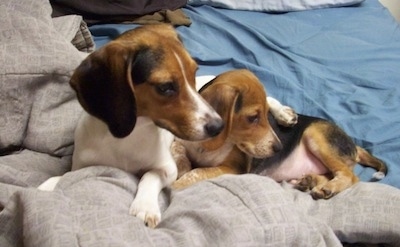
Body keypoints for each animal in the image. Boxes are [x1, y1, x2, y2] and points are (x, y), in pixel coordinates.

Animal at [38, 25, 223, 228]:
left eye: (194, 73)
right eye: (165, 87)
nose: (218, 126)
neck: (130, 135)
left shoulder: (168, 169)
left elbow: (149, 176)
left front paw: (145, 206)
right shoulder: (80, 167)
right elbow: (61, 177)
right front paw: (48, 185)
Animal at [173, 69, 388, 199]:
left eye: (267, 114)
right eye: (252, 117)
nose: (279, 148)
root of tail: (355, 146)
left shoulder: (232, 168)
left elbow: (196, 173)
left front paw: (174, 187)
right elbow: (180, 153)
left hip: (316, 135)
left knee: (350, 176)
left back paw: (328, 188)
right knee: (333, 173)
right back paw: (310, 181)